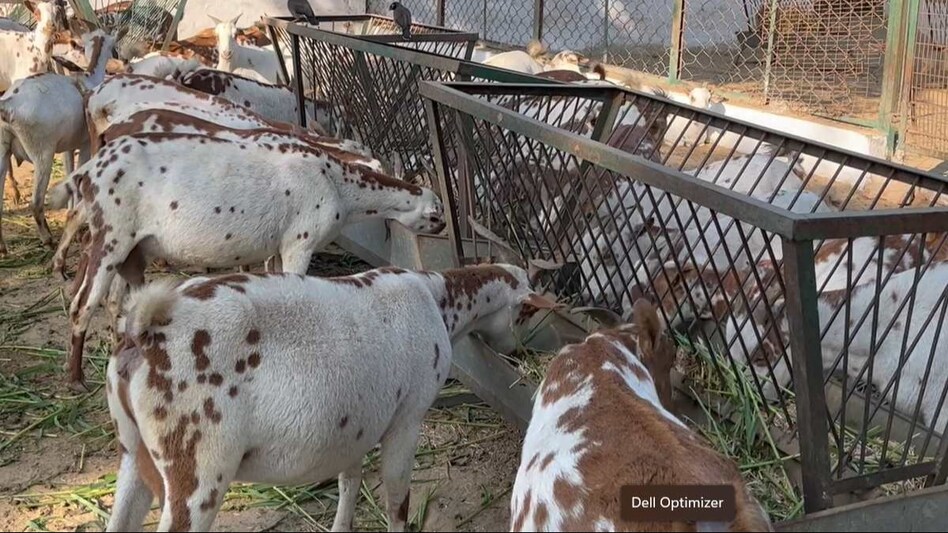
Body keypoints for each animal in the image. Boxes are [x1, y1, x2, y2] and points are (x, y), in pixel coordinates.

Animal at [0, 30, 117, 253]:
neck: (88, 79)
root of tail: (9, 104)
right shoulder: (85, 144)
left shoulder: (67, 148)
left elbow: (70, 173)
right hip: (42, 153)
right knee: (36, 202)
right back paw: (47, 239)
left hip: (2, 151)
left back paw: (2, 247)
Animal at [65, 131, 446, 389]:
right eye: (437, 211)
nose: (442, 227)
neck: (338, 183)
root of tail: (89, 171)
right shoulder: (299, 241)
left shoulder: (276, 247)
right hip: (111, 236)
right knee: (82, 304)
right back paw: (76, 379)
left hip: (134, 250)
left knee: (120, 304)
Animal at [105, 263, 556, 531]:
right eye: (527, 312)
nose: (518, 353)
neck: (440, 302)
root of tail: (145, 331)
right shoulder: (407, 418)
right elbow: (397, 498)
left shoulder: (356, 423)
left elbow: (350, 481)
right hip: (198, 467)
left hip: (135, 451)